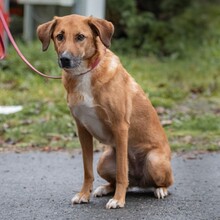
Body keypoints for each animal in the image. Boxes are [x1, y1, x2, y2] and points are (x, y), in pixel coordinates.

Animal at [37, 14, 174, 209]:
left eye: (80, 37)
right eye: (60, 36)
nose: (65, 59)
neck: (84, 73)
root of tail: (139, 180)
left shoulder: (120, 127)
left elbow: (122, 172)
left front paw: (118, 200)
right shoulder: (82, 130)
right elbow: (87, 170)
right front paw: (84, 195)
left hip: (154, 161)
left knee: (163, 182)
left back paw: (159, 189)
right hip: (103, 161)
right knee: (119, 181)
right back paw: (105, 188)